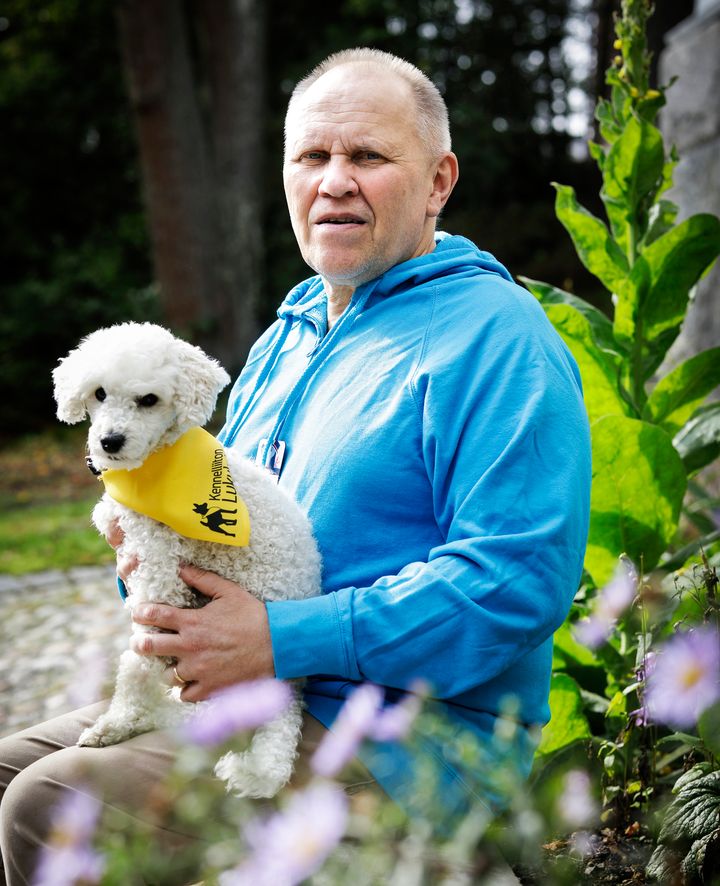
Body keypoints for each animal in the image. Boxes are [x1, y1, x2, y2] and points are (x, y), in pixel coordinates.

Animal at [52, 322, 322, 798]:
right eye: (99, 393)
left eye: (149, 400)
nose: (109, 442)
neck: (160, 463)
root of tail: (288, 692)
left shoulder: (161, 574)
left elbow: (139, 660)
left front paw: (120, 716)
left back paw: (130, 720)